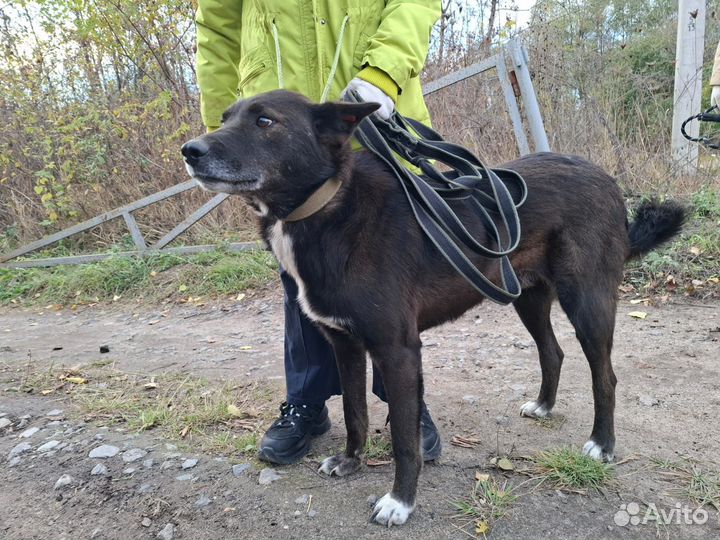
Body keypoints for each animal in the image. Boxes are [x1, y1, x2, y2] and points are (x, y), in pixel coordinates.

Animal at [181, 90, 688, 524]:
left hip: (586, 300)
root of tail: (606, 178)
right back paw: (544, 405)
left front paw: (399, 503)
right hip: (526, 297)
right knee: (553, 351)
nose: (190, 150)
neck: (329, 212)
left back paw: (602, 444)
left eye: (265, 121)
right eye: (225, 118)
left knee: (605, 375)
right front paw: (350, 461)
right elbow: (354, 413)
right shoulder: (345, 345)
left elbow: (404, 439)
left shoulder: (398, 349)